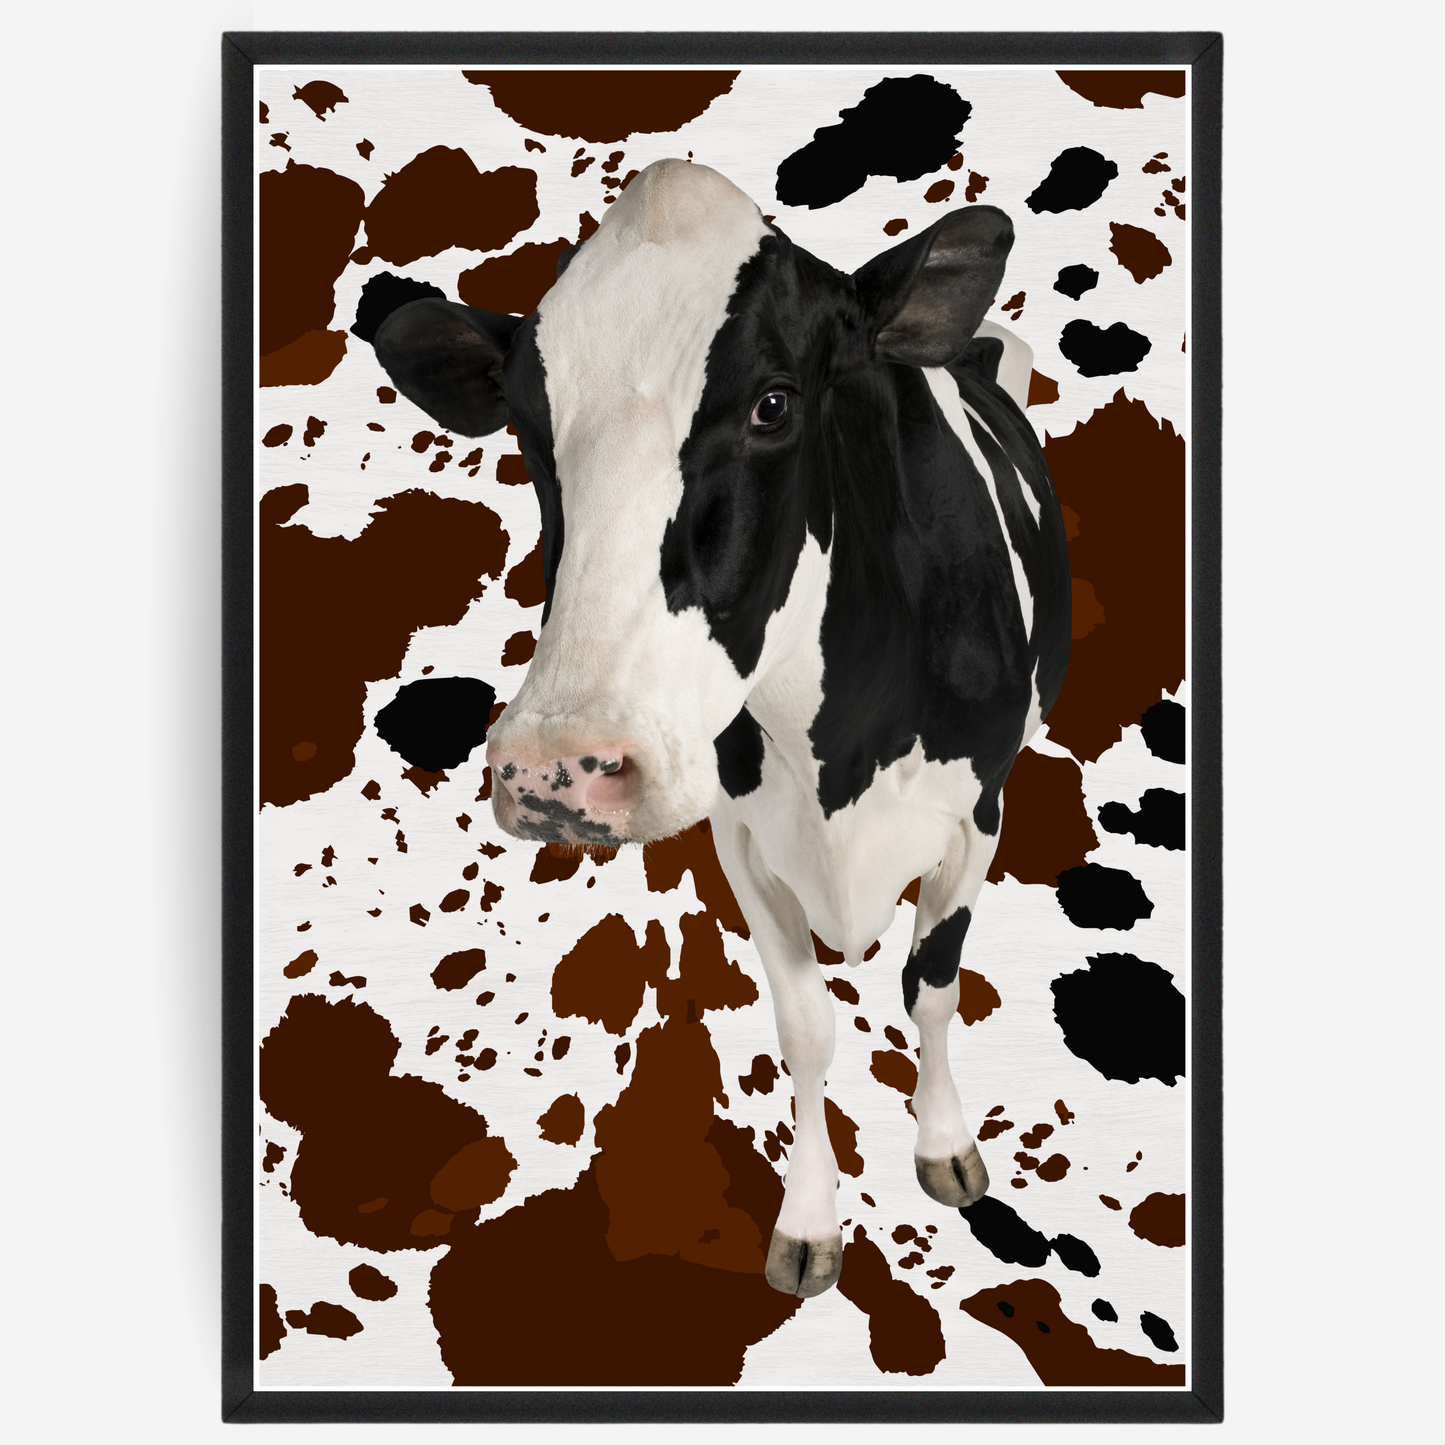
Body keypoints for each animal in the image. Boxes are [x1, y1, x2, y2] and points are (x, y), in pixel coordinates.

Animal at [371, 159, 1071, 1300]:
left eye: (772, 402)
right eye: (528, 422)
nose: (558, 768)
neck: (841, 746)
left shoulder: (977, 813)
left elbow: (928, 990)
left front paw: (943, 1147)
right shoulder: (742, 835)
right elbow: (805, 1027)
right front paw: (811, 1221)